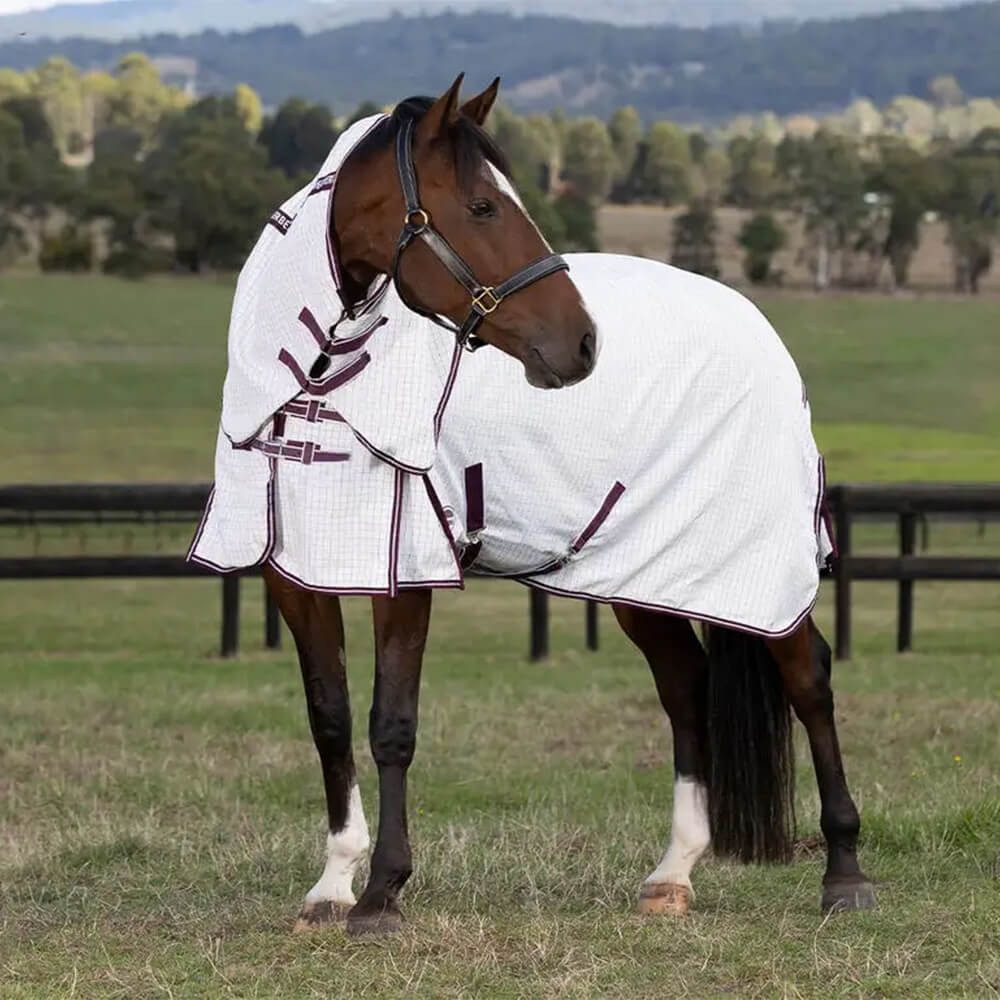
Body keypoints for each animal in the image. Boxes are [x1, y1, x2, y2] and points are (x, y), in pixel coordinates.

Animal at [192, 76, 874, 938]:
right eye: (483, 206)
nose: (582, 344)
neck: (318, 386)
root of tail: (761, 333)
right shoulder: (294, 572)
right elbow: (331, 718)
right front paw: (333, 883)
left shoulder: (405, 569)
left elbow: (392, 724)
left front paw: (383, 892)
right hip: (643, 575)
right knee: (685, 685)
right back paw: (673, 873)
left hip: (753, 564)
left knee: (808, 675)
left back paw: (845, 871)